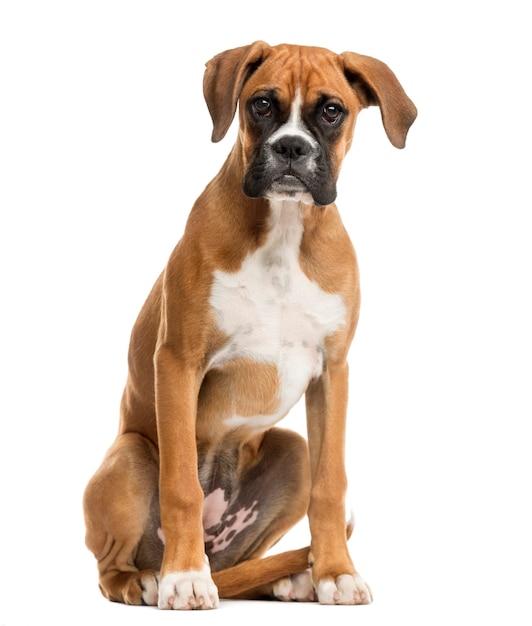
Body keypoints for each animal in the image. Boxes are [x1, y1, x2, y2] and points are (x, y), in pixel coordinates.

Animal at [83, 41, 416, 608]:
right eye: (261, 104)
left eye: (332, 111)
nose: (291, 149)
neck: (282, 228)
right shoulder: (178, 361)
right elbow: (181, 486)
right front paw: (184, 579)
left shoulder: (333, 372)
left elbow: (331, 487)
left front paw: (335, 572)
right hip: (128, 456)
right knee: (112, 566)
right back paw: (149, 579)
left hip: (293, 453)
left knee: (248, 563)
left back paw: (289, 579)